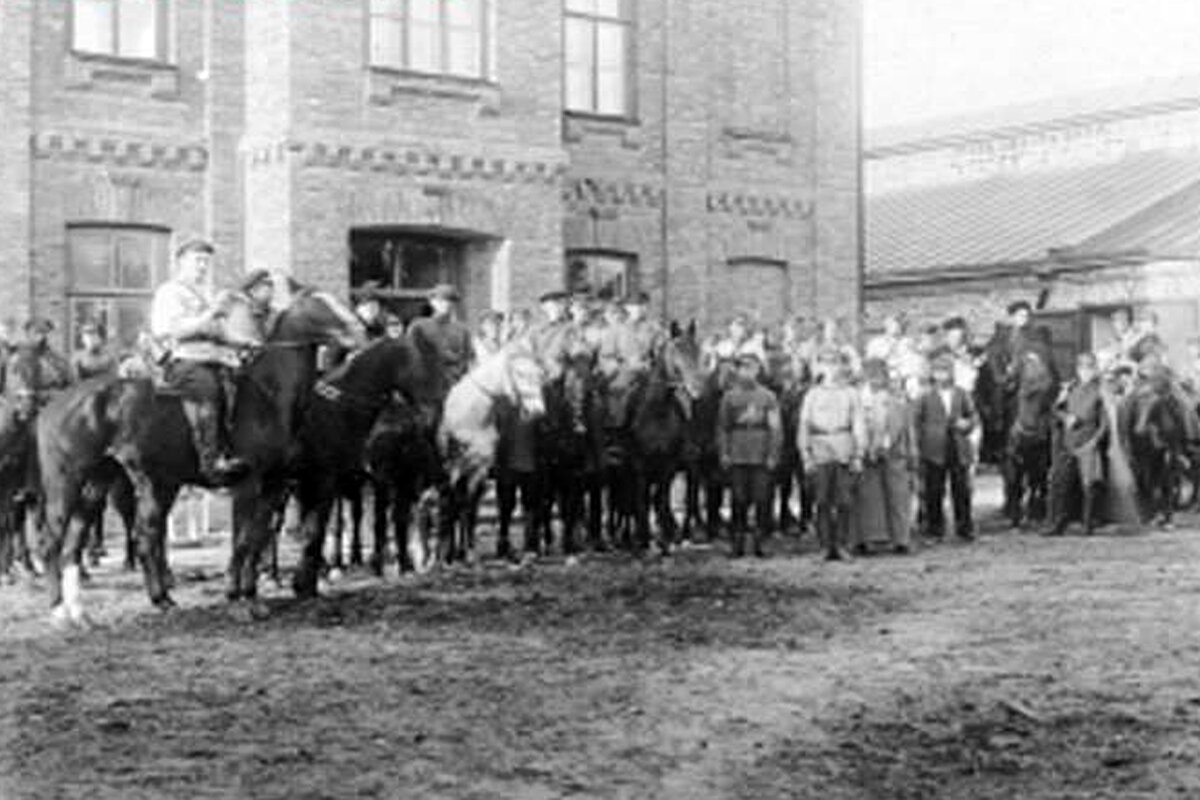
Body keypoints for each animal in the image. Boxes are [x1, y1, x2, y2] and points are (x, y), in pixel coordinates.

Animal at [37, 287, 364, 623]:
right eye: (319, 305)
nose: (361, 330)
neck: (268, 395)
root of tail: (56, 404)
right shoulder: (247, 484)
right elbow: (243, 541)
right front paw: (236, 599)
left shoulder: (273, 485)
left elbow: (257, 538)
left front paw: (252, 596)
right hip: (66, 482)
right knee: (52, 541)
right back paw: (59, 609)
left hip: (99, 483)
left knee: (78, 543)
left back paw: (93, 610)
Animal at [429, 345, 547, 568]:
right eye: (519, 373)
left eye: (539, 374)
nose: (537, 411)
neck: (469, 415)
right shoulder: (454, 470)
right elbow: (459, 506)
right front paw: (451, 554)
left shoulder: (480, 470)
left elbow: (469, 507)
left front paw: (466, 553)